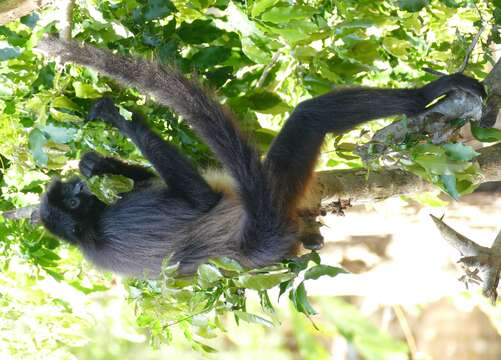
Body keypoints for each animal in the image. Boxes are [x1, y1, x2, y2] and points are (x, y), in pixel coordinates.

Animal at [37, 36, 482, 278]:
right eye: (73, 203)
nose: (79, 190)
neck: (88, 234)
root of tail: (256, 247)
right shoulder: (116, 226)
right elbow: (200, 200)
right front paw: (123, 121)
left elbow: (142, 179)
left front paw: (96, 163)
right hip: (275, 194)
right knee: (310, 117)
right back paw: (422, 97)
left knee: (309, 115)